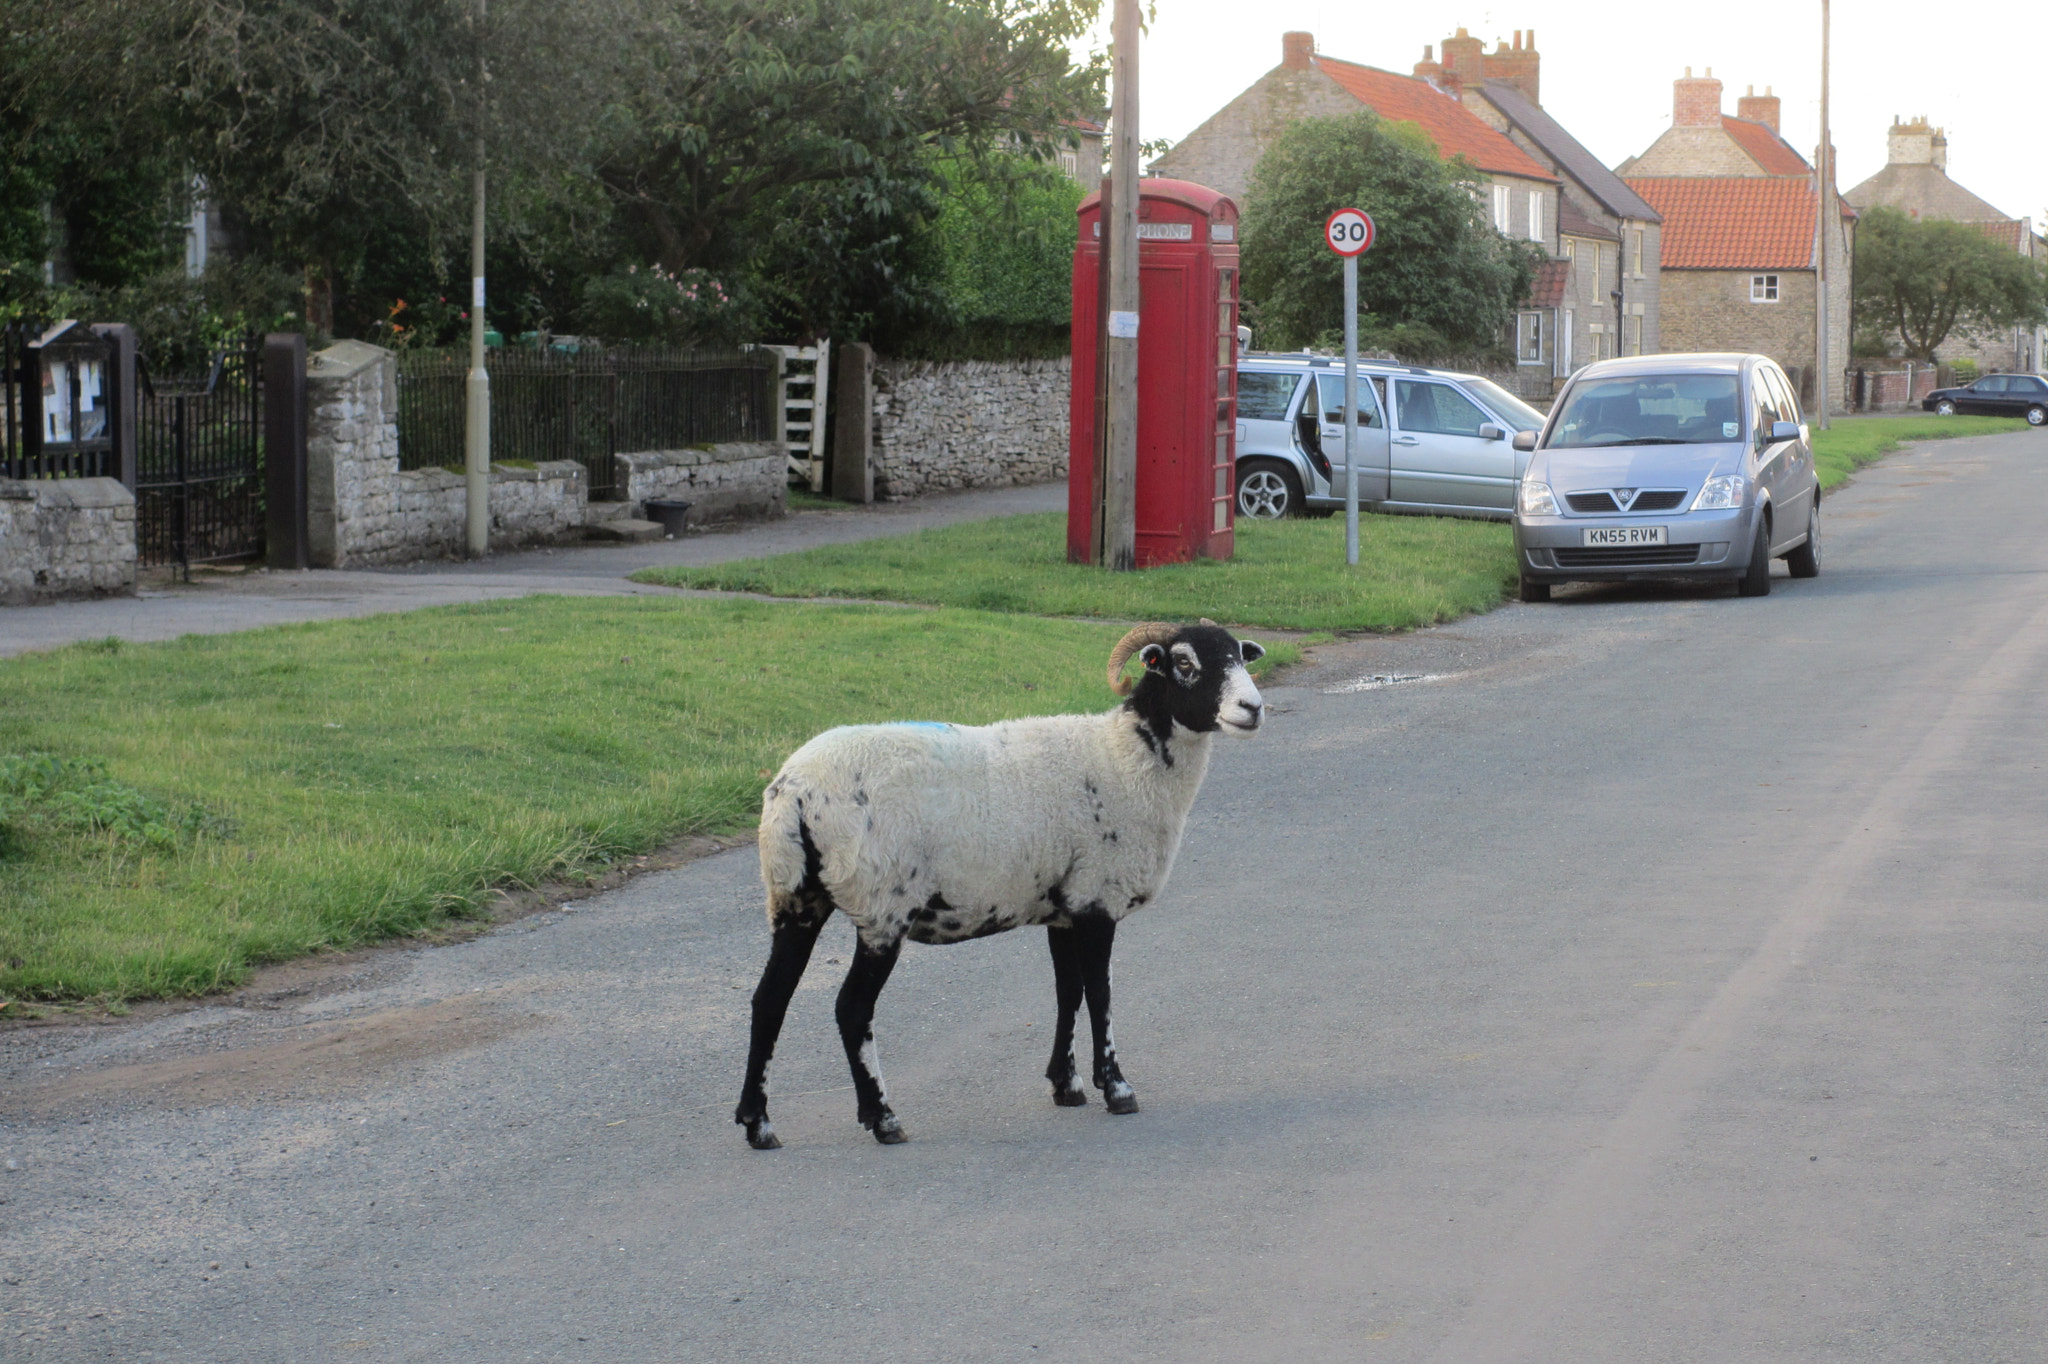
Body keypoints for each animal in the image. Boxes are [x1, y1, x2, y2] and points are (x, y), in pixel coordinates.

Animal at [729, 622, 1269, 1138]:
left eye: (1240, 657)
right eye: (1184, 662)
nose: (1253, 709)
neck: (1125, 758)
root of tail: (794, 790)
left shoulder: (1065, 907)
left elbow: (1068, 992)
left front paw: (1066, 1084)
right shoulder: (1097, 898)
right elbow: (1100, 994)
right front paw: (1116, 1088)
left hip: (795, 897)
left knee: (769, 1000)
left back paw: (758, 1123)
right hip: (883, 904)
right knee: (851, 1008)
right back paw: (882, 1118)